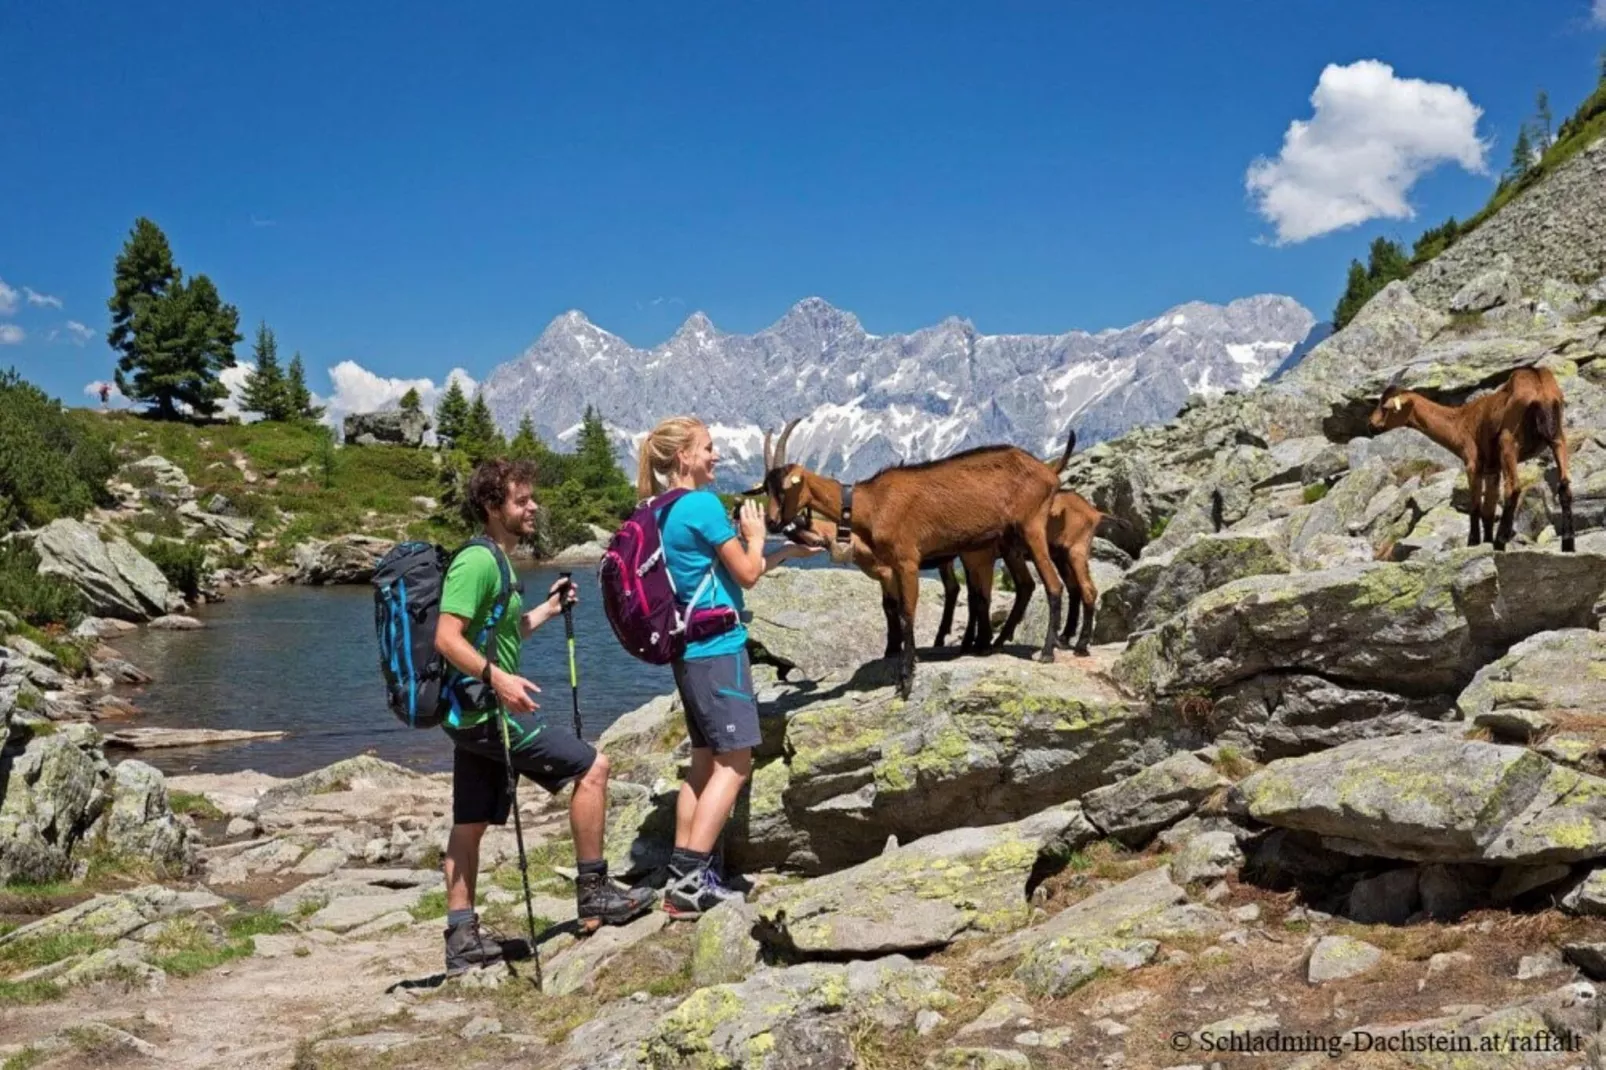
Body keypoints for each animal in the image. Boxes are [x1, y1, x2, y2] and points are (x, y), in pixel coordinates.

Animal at [745, 417, 1072, 700]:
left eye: (786, 487)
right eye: (766, 488)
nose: (773, 522)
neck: (871, 503)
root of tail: (1048, 473)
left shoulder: (907, 561)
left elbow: (906, 614)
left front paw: (906, 679)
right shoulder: (891, 567)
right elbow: (894, 610)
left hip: (1030, 527)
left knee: (1052, 584)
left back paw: (1045, 652)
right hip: (1007, 542)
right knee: (1017, 587)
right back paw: (993, 644)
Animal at [1368, 364, 1580, 549]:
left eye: (1385, 407)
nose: (1371, 424)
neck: (1460, 421)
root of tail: (1539, 386)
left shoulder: (1473, 464)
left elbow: (1475, 506)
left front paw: (1474, 542)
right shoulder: (1492, 470)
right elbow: (1488, 510)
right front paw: (1486, 541)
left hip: (1508, 442)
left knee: (1513, 487)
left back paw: (1500, 541)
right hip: (1558, 439)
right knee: (1564, 486)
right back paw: (1568, 542)